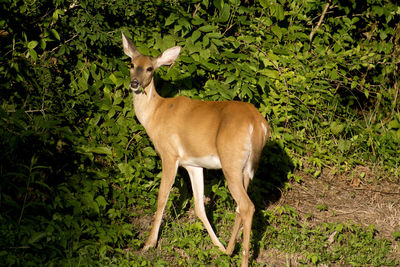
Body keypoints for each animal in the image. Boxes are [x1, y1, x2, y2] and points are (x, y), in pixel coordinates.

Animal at [122, 31, 270, 267]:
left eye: (150, 68)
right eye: (131, 64)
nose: (134, 83)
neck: (155, 114)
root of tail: (257, 125)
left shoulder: (169, 154)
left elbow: (162, 197)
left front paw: (148, 244)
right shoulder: (193, 164)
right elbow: (200, 206)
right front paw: (217, 245)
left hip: (230, 162)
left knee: (247, 206)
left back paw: (242, 259)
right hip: (246, 168)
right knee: (240, 207)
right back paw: (228, 250)